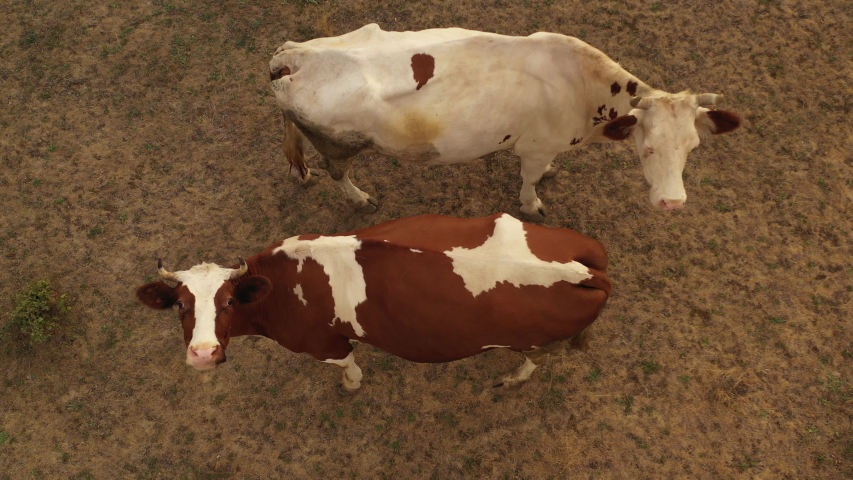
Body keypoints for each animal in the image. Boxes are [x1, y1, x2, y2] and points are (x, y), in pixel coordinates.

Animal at [136, 213, 612, 393]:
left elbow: (346, 364)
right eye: (181, 306)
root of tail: (588, 270)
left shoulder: (322, 344)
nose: (203, 354)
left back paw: (512, 378)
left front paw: (352, 384)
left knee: (537, 359)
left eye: (230, 301)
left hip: (531, 340)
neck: (283, 281)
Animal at [269, 24, 740, 220]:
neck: (582, 86)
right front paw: (532, 204)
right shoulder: (534, 147)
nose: (672, 203)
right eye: (648, 147)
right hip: (339, 146)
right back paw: (359, 199)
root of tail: (293, 56)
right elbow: (529, 182)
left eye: (692, 147)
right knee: (337, 174)